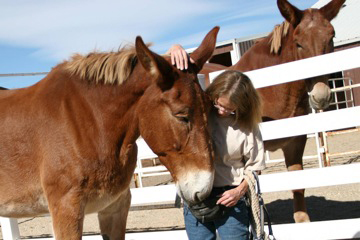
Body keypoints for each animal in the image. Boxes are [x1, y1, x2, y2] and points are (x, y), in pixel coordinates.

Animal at [0, 27, 219, 238]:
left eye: (210, 107)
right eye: (181, 115)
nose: (205, 192)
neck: (91, 123)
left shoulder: (114, 207)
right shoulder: (66, 211)